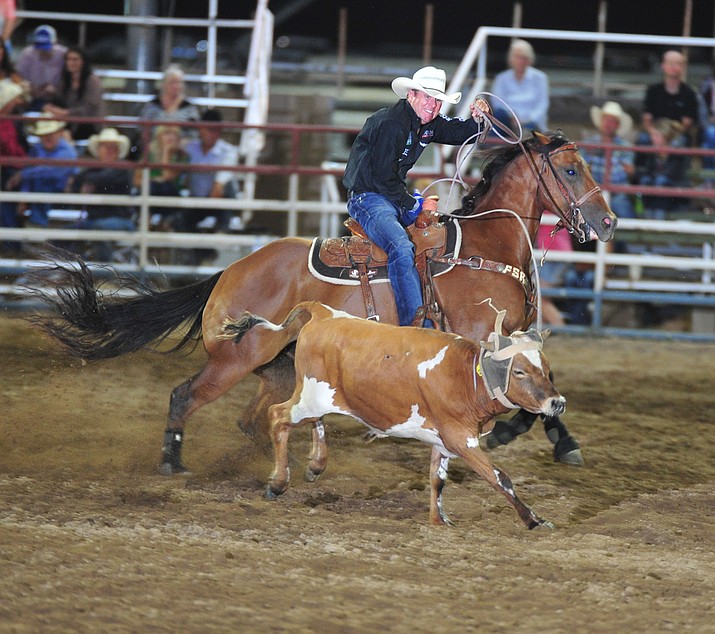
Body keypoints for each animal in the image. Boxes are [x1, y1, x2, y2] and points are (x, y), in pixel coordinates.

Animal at [30, 130, 620, 474]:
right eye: (571, 169)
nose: (609, 222)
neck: (485, 248)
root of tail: (232, 270)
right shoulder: (479, 343)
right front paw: (512, 432)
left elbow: (544, 388)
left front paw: (555, 439)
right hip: (238, 355)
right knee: (185, 395)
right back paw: (173, 463)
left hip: (275, 363)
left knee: (251, 416)